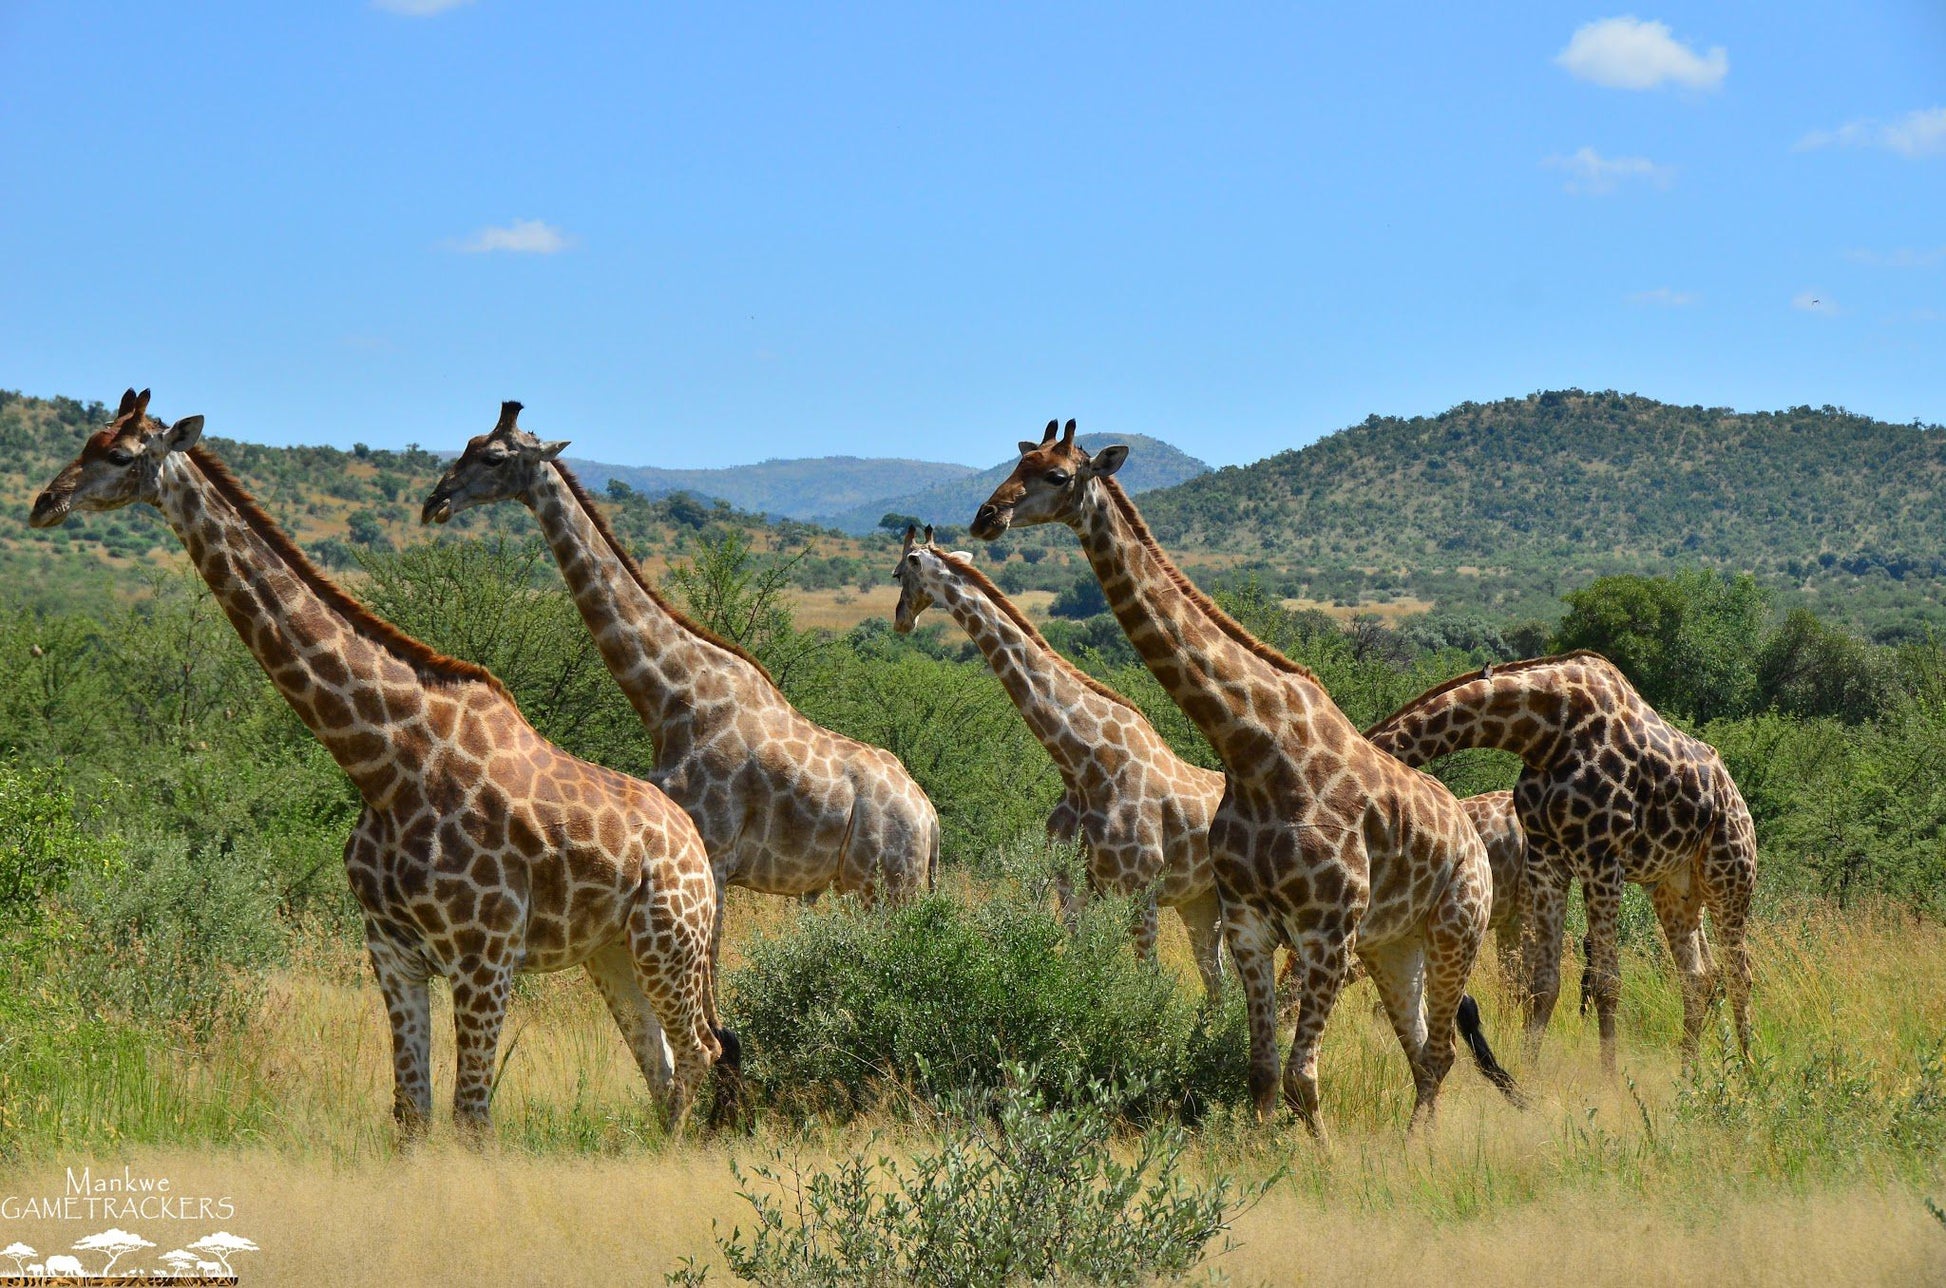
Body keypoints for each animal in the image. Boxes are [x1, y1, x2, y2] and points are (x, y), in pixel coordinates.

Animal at [30, 396, 735, 1144]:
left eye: (120, 455)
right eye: (87, 440)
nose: (44, 503)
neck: (386, 765)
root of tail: (695, 844)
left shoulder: (484, 953)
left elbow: (471, 1118)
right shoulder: (391, 949)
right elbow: (411, 1113)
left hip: (670, 939)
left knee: (698, 1048)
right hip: (611, 951)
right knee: (657, 1058)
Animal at [426, 408, 941, 965]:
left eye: (494, 457)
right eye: (469, 443)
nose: (436, 501)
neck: (671, 698)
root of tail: (929, 817)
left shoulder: (711, 851)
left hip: (890, 886)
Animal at [891, 525, 1222, 996]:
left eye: (900, 573)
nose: (900, 620)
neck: (1082, 764)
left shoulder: (1139, 888)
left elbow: (1147, 983)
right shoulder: (1073, 889)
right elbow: (1079, 967)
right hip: (1201, 899)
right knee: (1218, 982)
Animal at [973, 424, 1517, 1144]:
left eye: (1057, 475)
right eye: (1019, 461)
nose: (987, 516)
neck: (1255, 749)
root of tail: (1470, 832)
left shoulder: (1323, 930)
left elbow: (1300, 1078)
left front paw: (1321, 1158)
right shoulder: (1250, 924)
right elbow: (1260, 1072)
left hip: (1457, 927)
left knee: (1443, 1050)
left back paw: (1417, 1151)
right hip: (1391, 945)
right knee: (1422, 1050)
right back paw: (1409, 1147)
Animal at [1369, 649, 1766, 1073]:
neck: (1544, 735)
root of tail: (1736, 795)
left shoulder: (1600, 859)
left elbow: (1606, 982)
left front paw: (1609, 1080)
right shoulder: (1547, 860)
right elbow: (1543, 985)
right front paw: (1529, 1074)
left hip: (1730, 874)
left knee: (1740, 973)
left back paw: (1747, 1070)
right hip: (1674, 889)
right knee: (1698, 976)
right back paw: (1688, 1073)